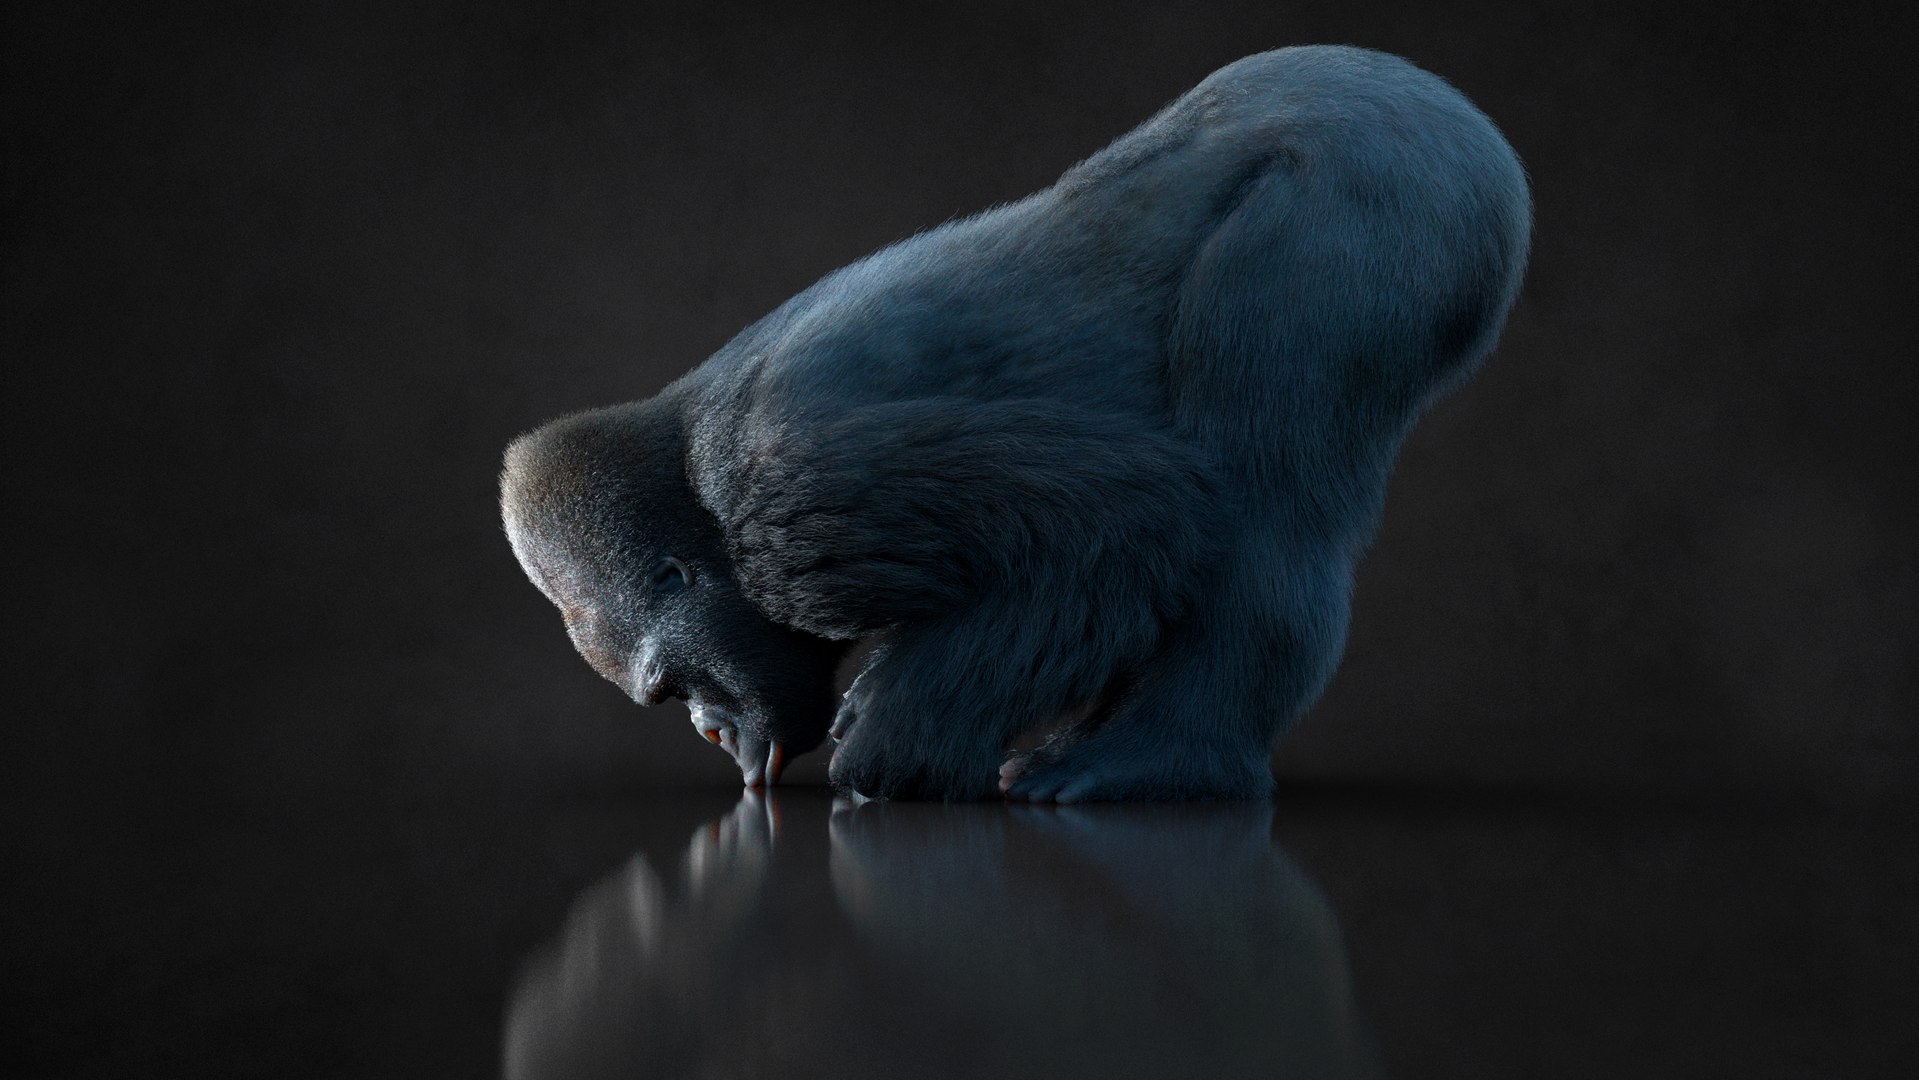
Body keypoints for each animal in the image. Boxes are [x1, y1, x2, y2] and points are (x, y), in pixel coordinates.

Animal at [500, 45, 1531, 801]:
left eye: (672, 689)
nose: (711, 731)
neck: (691, 481)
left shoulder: (793, 499)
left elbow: (1124, 524)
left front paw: (896, 740)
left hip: (1366, 200)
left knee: (1265, 516)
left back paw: (1159, 760)